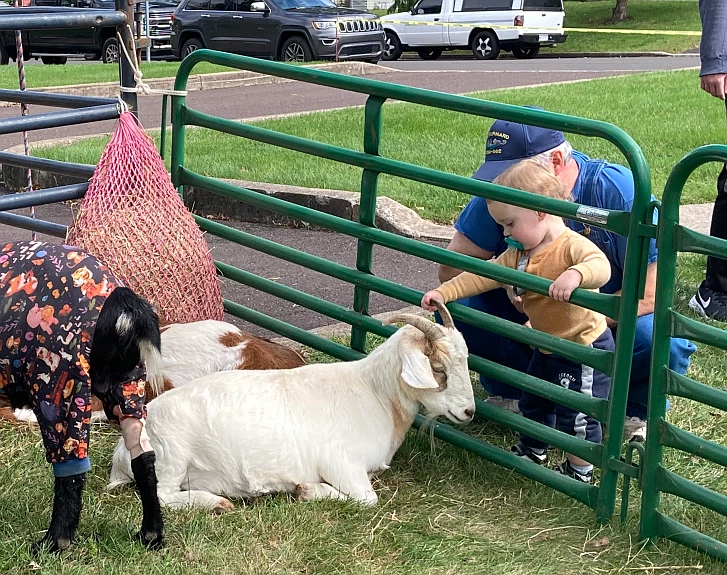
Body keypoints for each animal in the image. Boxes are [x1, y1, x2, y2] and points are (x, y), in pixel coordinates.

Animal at [105, 306, 474, 512]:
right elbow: (366, 498)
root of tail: (121, 451)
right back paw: (217, 503)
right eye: (438, 368)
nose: (469, 412)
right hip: (171, 458)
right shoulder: (341, 462)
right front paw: (307, 490)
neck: (374, 394)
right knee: (161, 495)